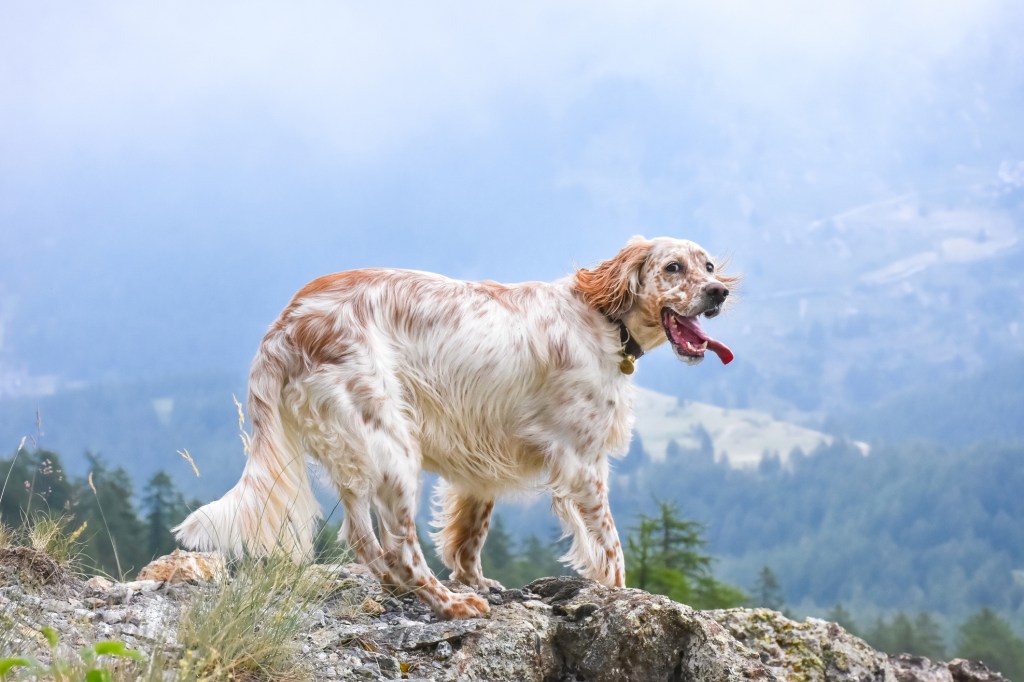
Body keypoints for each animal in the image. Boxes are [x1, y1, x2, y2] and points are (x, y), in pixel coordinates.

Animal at [178, 236, 737, 618]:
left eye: (709, 265)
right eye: (673, 267)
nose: (718, 293)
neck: (601, 319)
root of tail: (285, 325)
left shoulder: (483, 459)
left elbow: (470, 532)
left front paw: (476, 579)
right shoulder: (583, 463)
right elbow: (611, 548)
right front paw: (625, 595)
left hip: (355, 451)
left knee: (364, 538)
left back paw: (409, 590)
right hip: (391, 445)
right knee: (401, 549)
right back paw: (448, 604)